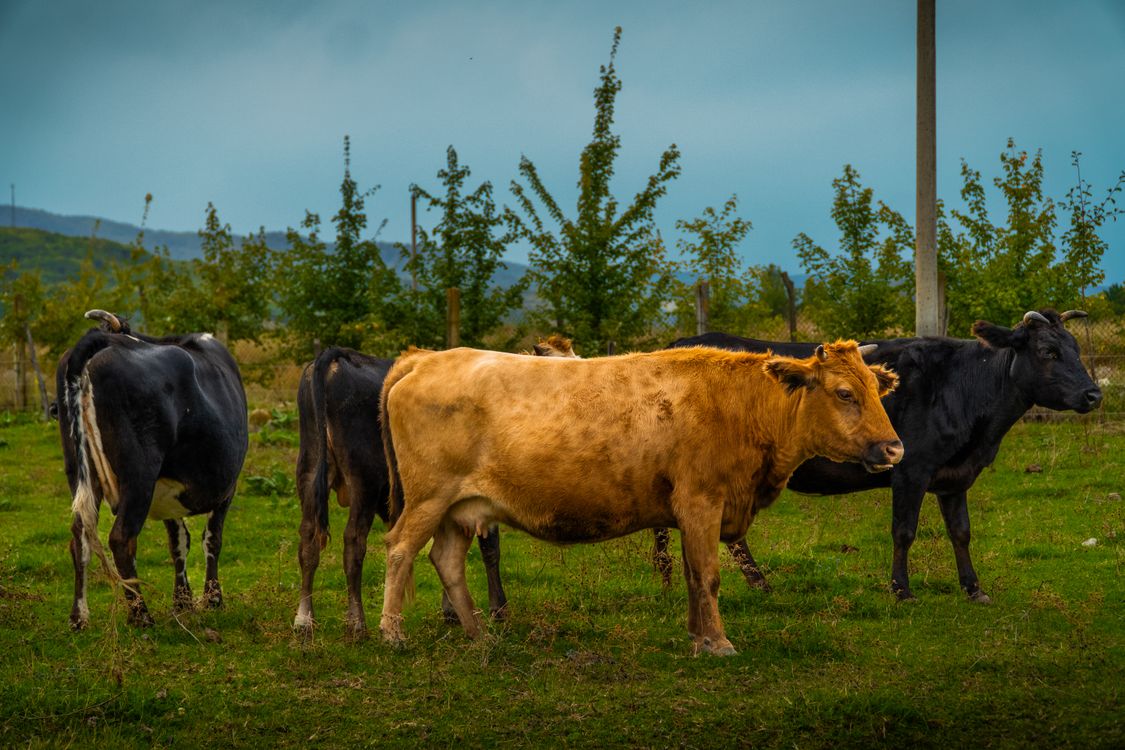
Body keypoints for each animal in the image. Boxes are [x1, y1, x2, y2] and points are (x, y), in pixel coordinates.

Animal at [57, 310, 248, 629]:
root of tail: (105, 337)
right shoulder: (226, 490)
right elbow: (212, 539)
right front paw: (212, 600)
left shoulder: (169, 493)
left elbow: (179, 542)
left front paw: (183, 602)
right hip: (139, 474)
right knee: (121, 538)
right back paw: (140, 615)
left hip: (79, 469)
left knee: (79, 535)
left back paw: (79, 617)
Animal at [293, 335, 579, 636]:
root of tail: (336, 357)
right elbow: (490, 549)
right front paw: (497, 609)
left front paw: (452, 609)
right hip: (364, 480)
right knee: (354, 542)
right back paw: (357, 622)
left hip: (310, 470)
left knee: (309, 540)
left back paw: (304, 620)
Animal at [378, 341, 902, 655]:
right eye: (844, 393)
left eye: (876, 390)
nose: (893, 448)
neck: (740, 406)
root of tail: (426, 357)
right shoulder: (701, 502)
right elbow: (708, 575)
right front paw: (719, 643)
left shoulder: (689, 513)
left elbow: (692, 576)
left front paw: (698, 637)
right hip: (427, 498)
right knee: (400, 549)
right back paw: (392, 633)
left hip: (457, 509)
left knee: (446, 560)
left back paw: (479, 633)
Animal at [659, 308, 1102, 602]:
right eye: (1047, 351)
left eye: (1076, 348)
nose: (1094, 394)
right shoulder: (911, 469)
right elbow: (904, 531)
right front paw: (901, 590)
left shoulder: (954, 476)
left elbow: (961, 532)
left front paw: (974, 589)